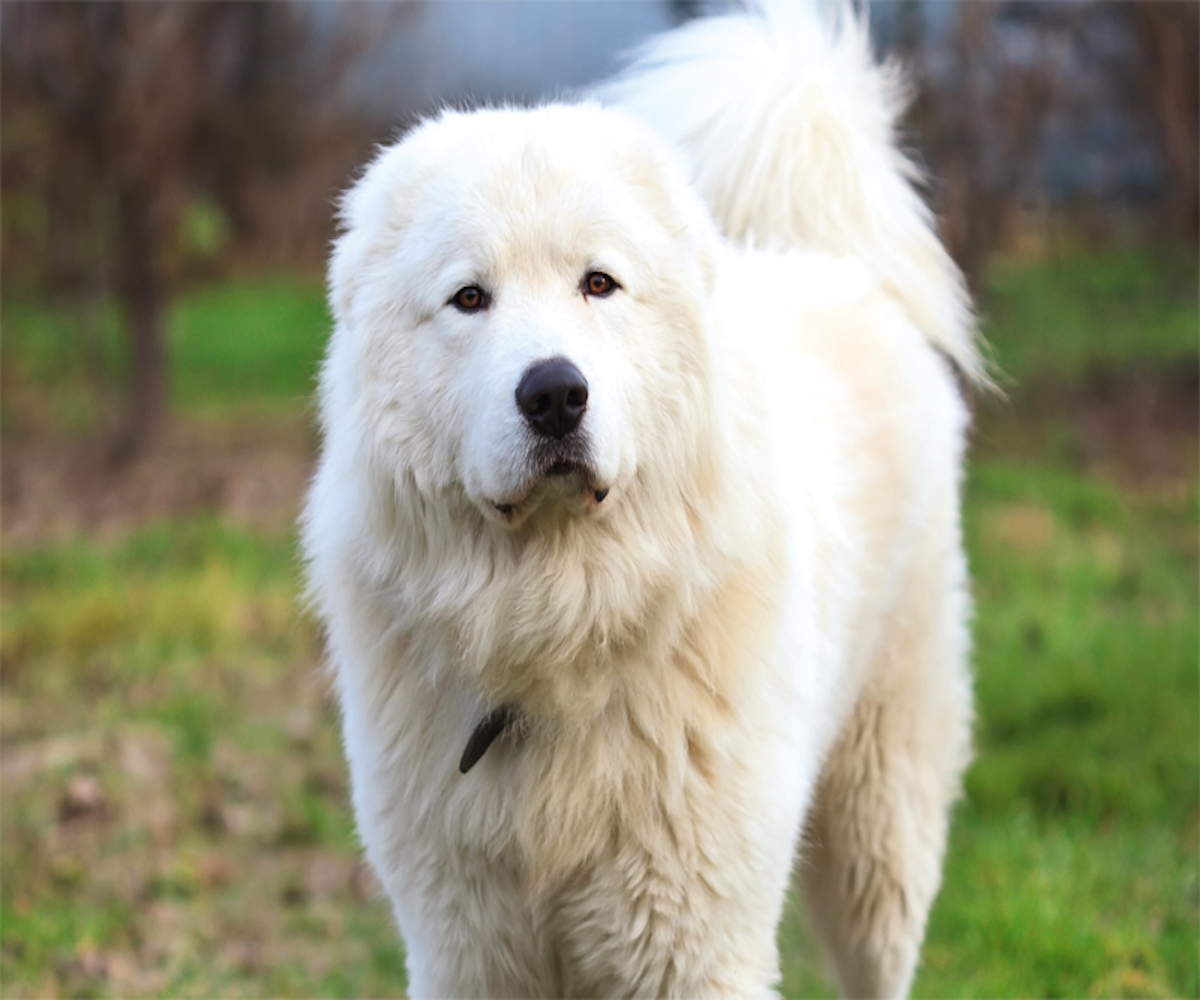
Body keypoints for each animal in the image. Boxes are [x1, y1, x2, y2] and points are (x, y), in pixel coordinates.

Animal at [304, 3, 979, 993]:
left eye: (599, 283)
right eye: (469, 298)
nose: (554, 394)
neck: (558, 631)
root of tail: (818, 256)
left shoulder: (690, 942)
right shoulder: (468, 947)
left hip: (876, 828)